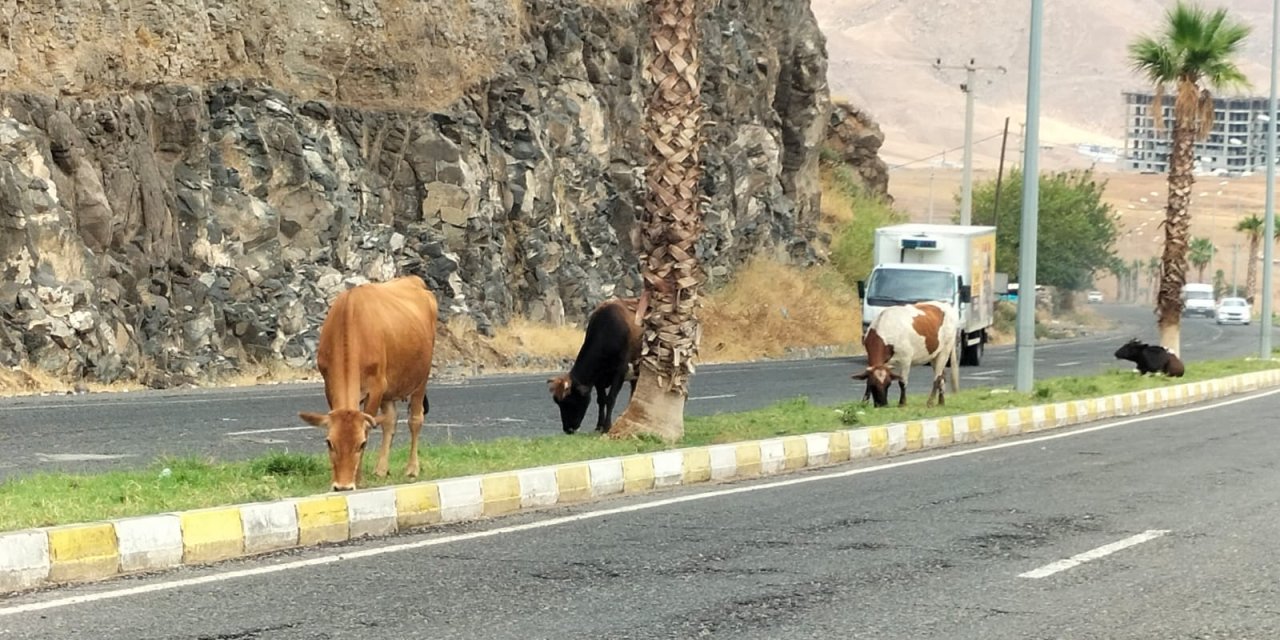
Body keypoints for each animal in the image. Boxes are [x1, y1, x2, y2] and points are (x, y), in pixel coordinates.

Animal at [299, 275, 440, 488]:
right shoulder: (329, 385)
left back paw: (412, 468)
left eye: (361, 444)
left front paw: (358, 479)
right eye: (329, 442)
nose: (342, 486)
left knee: (415, 419)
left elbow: (368, 425)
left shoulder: (375, 387)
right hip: (390, 388)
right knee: (390, 420)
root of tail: (413, 279)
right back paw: (381, 469)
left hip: (421, 377)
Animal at [550, 296, 645, 432]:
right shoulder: (598, 377)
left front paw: (607, 426)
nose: (568, 429)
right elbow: (601, 400)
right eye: (558, 403)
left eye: (571, 401)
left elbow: (610, 399)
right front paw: (599, 425)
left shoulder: (620, 371)